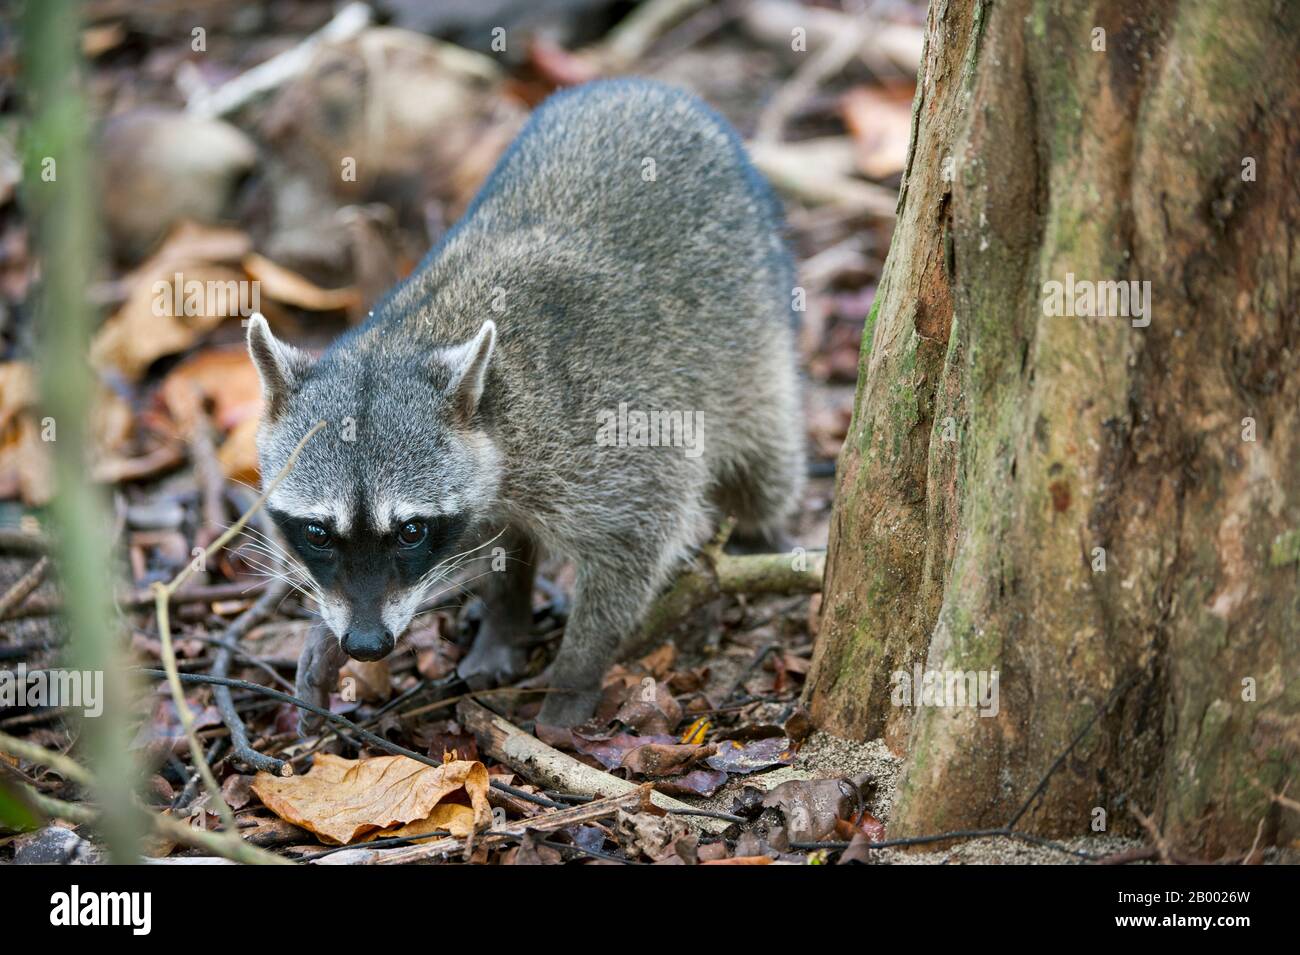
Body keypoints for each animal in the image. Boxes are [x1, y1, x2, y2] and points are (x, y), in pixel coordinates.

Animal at [245, 80, 800, 722]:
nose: (365, 643)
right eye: (318, 533)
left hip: (752, 337)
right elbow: (488, 537)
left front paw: (576, 673)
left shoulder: (607, 438)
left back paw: (765, 534)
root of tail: (644, 86)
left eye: (409, 531)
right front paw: (324, 629)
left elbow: (635, 541)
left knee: (764, 471)